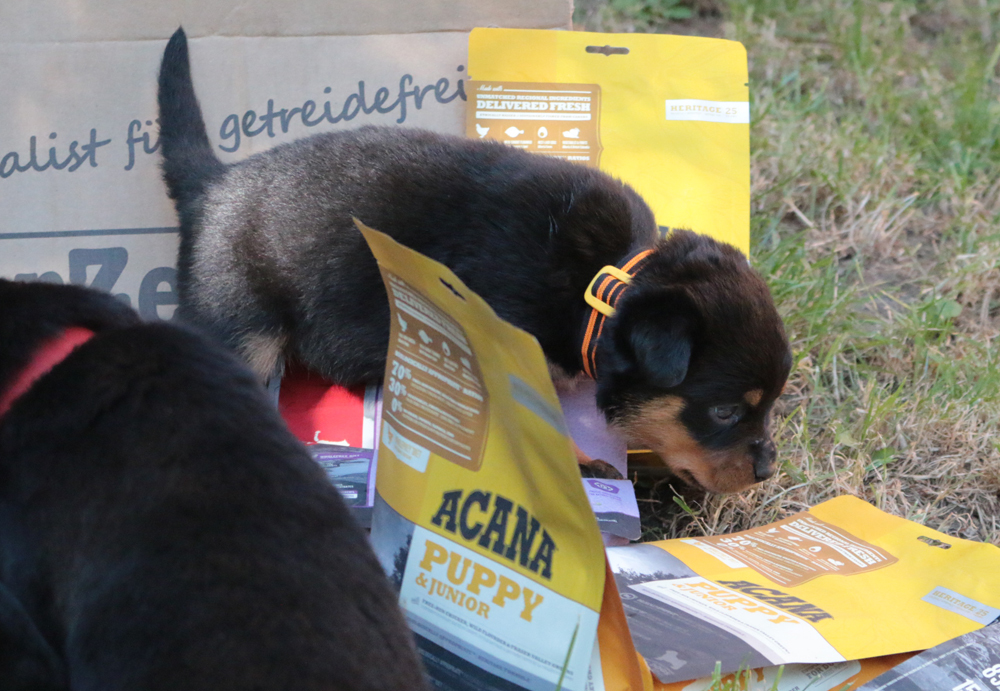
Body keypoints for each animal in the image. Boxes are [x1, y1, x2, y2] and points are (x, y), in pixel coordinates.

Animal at [157, 28, 792, 494]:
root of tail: (213, 184)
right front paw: (582, 463)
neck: (600, 284)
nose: (766, 470)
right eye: (726, 412)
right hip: (239, 325)